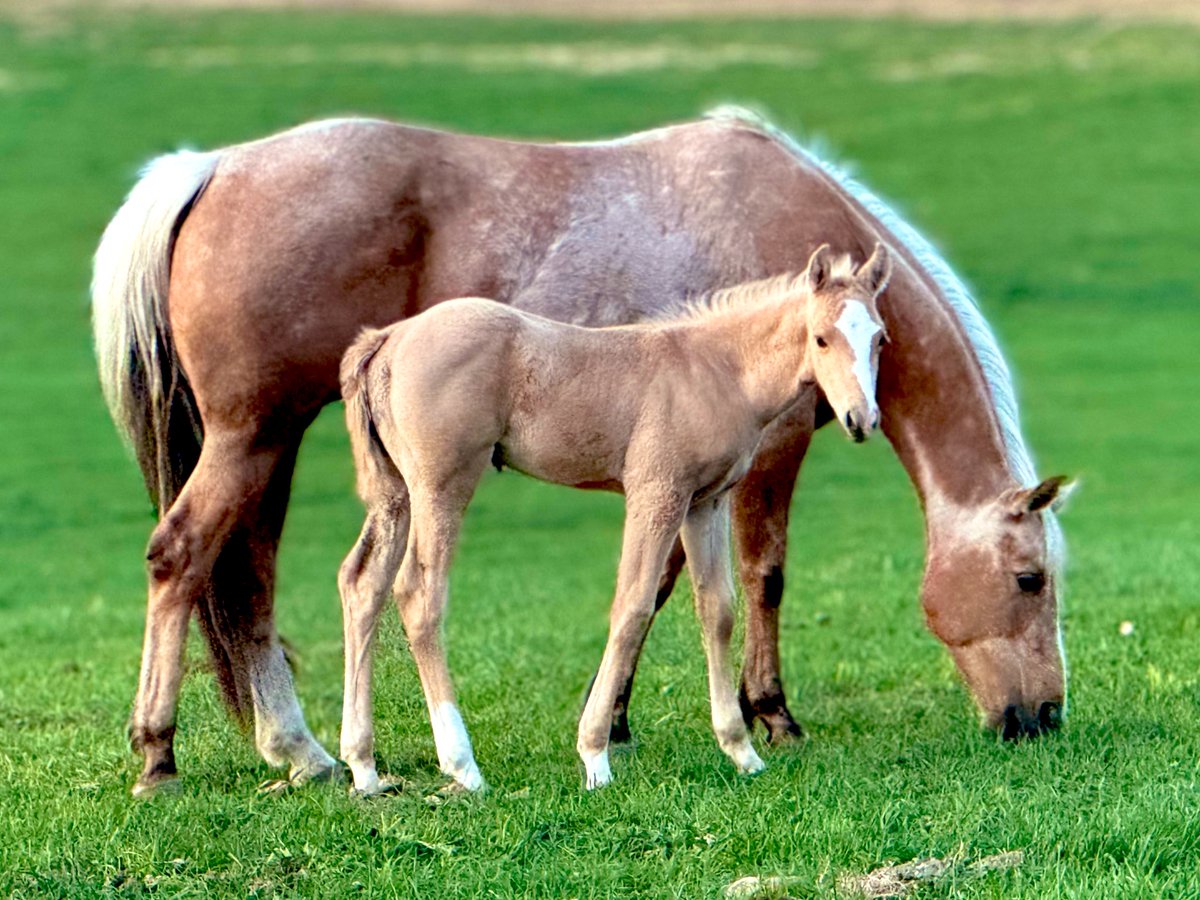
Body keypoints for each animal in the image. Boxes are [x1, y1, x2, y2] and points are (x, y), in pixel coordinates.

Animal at [337, 246, 890, 793]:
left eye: (880, 338)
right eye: (821, 337)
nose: (861, 420)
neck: (718, 370)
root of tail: (388, 339)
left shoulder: (705, 502)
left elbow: (717, 610)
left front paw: (742, 751)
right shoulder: (656, 492)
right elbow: (633, 605)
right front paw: (595, 757)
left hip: (395, 493)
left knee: (362, 584)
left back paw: (363, 767)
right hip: (442, 485)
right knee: (419, 593)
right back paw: (462, 765)